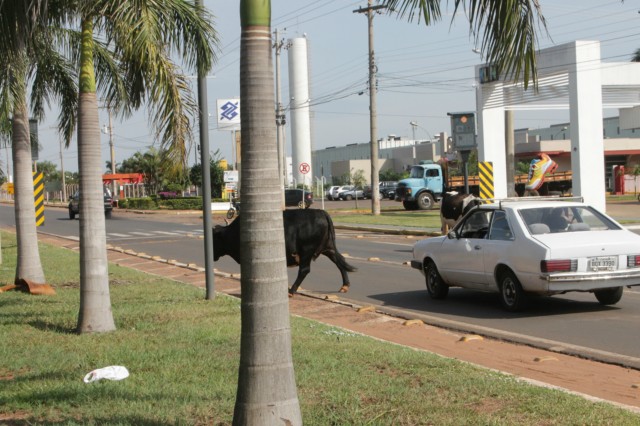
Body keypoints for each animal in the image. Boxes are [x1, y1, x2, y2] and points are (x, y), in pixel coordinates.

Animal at [214, 210, 356, 296]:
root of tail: (320, 212)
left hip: (307, 250)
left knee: (304, 270)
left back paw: (291, 290)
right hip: (328, 247)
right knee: (340, 261)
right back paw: (345, 286)